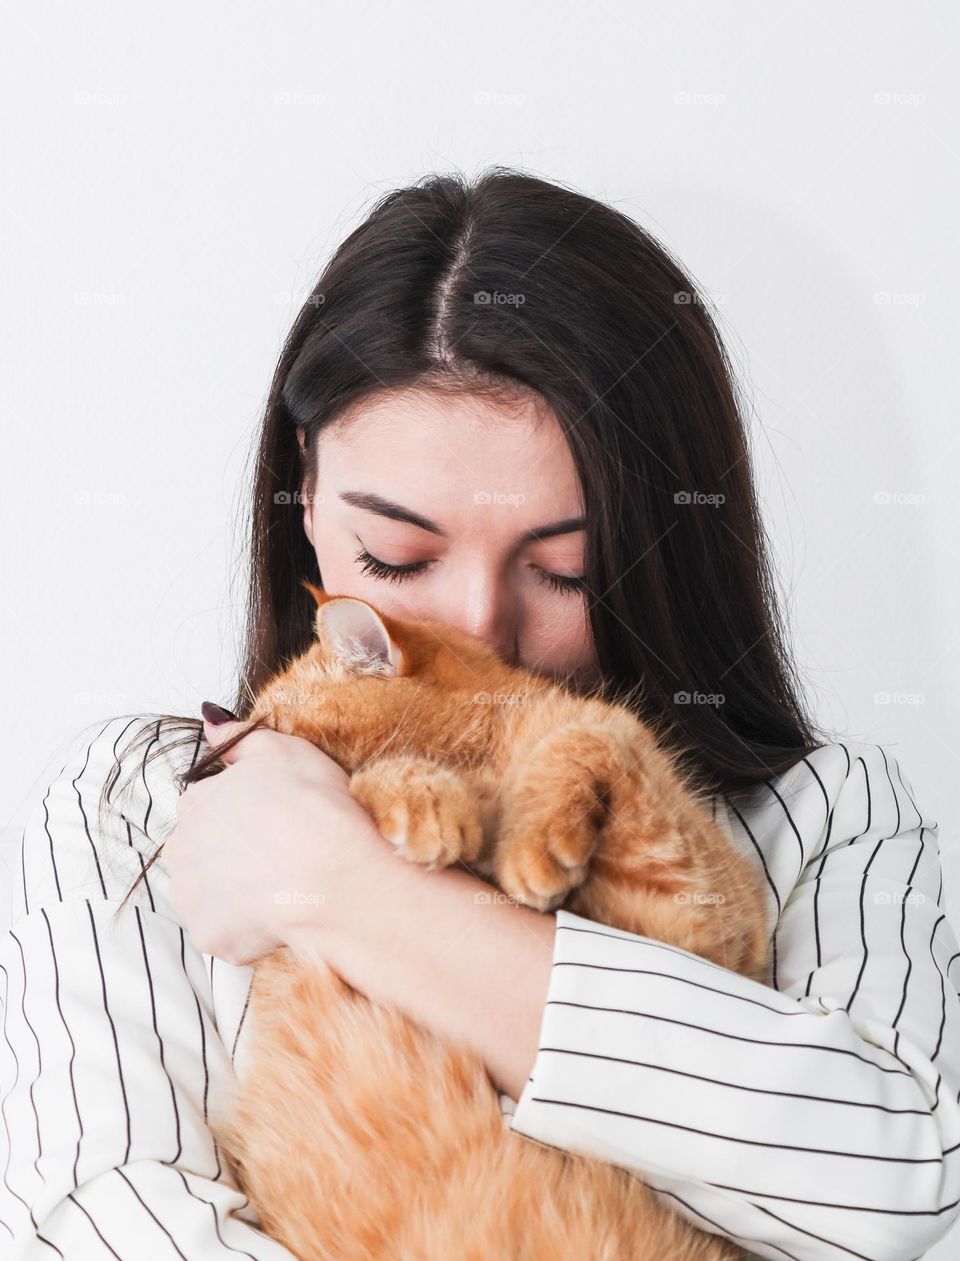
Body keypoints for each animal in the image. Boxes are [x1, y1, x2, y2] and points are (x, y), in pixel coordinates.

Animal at [205, 582, 766, 1261]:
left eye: (265, 735)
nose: (210, 768)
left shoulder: (705, 927)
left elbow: (589, 734)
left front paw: (527, 840)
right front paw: (427, 801)